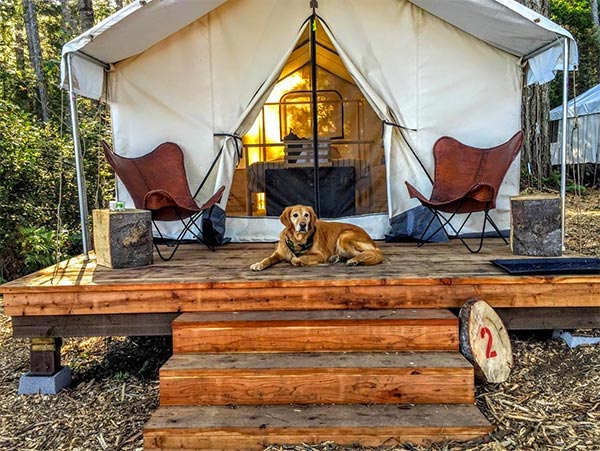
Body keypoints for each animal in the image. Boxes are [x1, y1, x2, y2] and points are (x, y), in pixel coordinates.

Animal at [250, 205, 384, 272]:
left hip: (344, 236)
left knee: (366, 253)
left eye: (306, 215)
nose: (303, 225)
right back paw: (336, 257)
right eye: (295, 215)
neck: (298, 240)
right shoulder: (278, 253)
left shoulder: (320, 254)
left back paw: (354, 260)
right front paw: (258, 264)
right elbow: (268, 259)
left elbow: (296, 259)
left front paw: (300, 262)